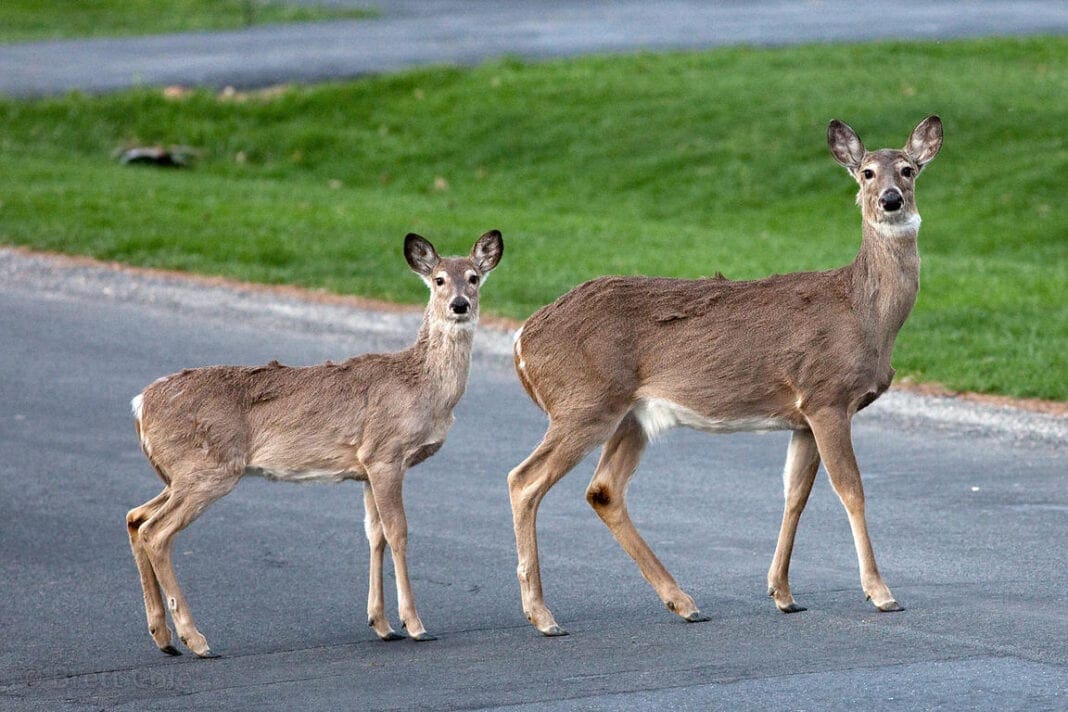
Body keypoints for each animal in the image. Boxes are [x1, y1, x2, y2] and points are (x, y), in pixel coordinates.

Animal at [127, 229, 501, 657]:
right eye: (439, 279)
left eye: (473, 277)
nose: (459, 304)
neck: (423, 387)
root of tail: (141, 404)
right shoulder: (386, 454)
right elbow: (398, 531)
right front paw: (415, 624)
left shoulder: (366, 467)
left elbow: (374, 534)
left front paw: (382, 624)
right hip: (209, 469)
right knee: (156, 532)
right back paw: (196, 640)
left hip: (178, 473)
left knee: (135, 518)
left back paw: (164, 637)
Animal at [508, 115, 944, 636]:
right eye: (866, 173)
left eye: (909, 169)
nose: (891, 199)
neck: (863, 312)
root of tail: (522, 340)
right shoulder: (828, 396)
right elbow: (851, 490)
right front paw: (881, 593)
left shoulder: (802, 416)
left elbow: (795, 494)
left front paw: (783, 594)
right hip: (584, 403)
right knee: (524, 480)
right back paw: (542, 615)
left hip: (630, 415)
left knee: (604, 490)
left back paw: (683, 601)